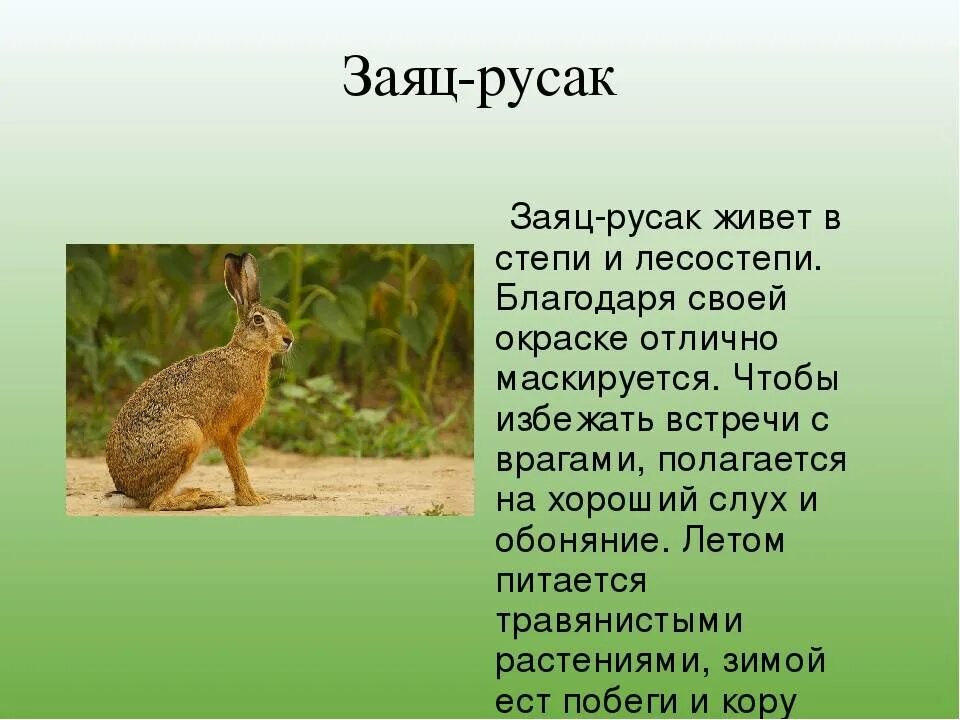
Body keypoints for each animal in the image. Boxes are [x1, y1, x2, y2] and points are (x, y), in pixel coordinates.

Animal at [105, 252, 293, 511]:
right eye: (258, 320)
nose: (289, 339)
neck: (245, 352)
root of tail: (127, 490)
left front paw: (255, 498)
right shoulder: (226, 431)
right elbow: (237, 465)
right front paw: (251, 500)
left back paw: (201, 494)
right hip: (188, 434)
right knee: (158, 503)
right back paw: (204, 500)